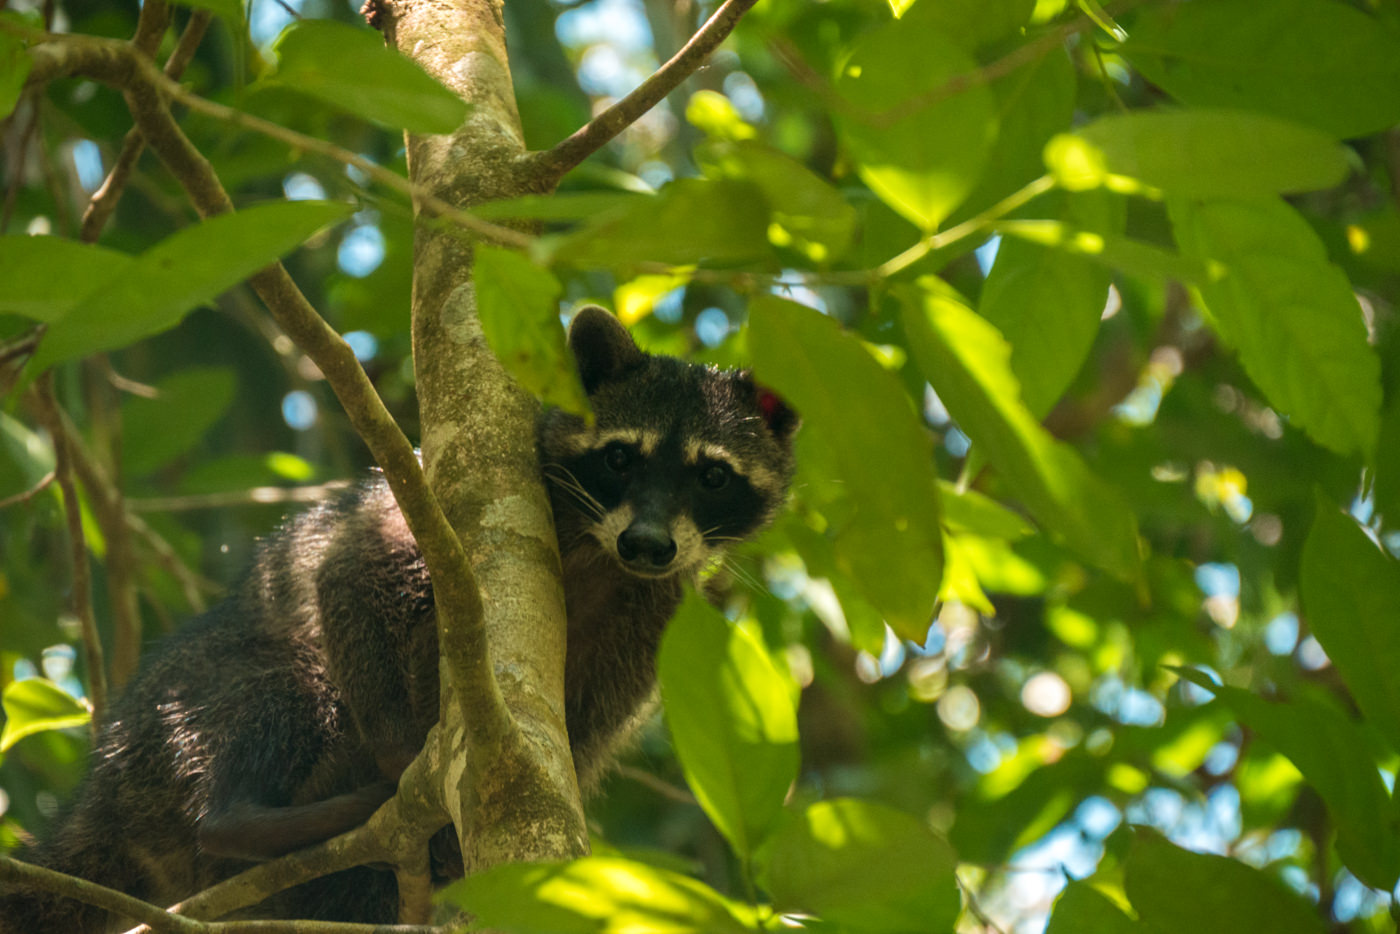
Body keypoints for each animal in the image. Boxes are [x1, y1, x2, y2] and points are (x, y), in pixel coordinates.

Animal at [0, 306, 800, 929]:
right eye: (621, 458)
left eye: (713, 475)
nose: (649, 542)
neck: (599, 553)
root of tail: (101, 806)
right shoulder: (429, 511)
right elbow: (349, 573)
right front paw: (393, 746)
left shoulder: (653, 614)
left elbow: (589, 723)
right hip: (175, 712)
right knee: (282, 688)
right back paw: (256, 810)